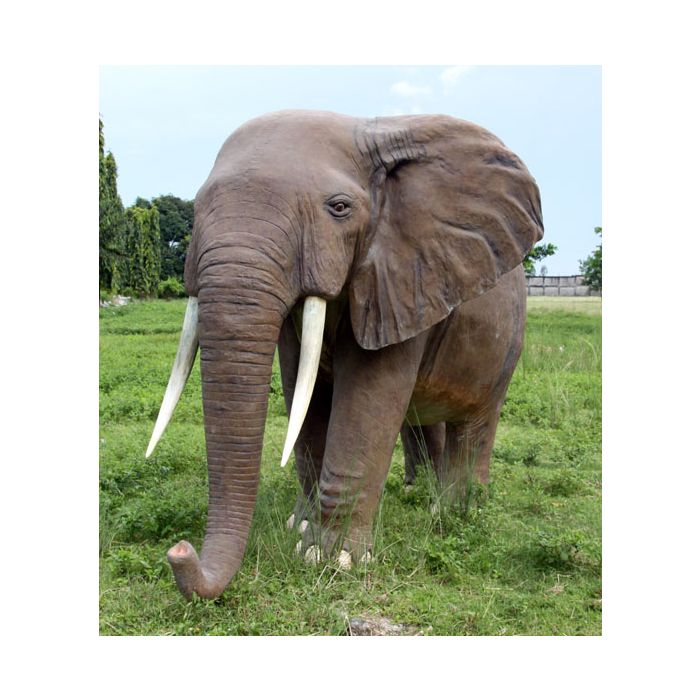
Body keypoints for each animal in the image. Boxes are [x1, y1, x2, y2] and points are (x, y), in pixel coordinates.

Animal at [146, 109, 543, 600]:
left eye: (339, 208)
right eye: (196, 210)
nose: (179, 550)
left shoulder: (401, 275)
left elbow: (366, 399)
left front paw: (331, 559)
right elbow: (304, 390)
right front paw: (300, 530)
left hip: (507, 339)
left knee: (475, 423)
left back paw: (454, 511)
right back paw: (415, 495)